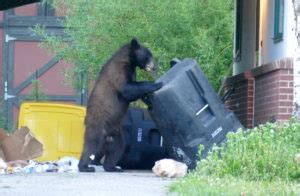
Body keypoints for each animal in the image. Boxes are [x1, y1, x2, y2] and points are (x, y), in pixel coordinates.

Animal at [77, 38, 162, 172]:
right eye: (148, 55)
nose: (154, 67)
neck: (129, 60)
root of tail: (107, 136)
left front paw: (147, 97)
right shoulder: (118, 71)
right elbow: (127, 88)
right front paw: (156, 84)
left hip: (116, 133)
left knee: (117, 149)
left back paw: (112, 167)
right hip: (98, 124)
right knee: (91, 144)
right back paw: (85, 167)